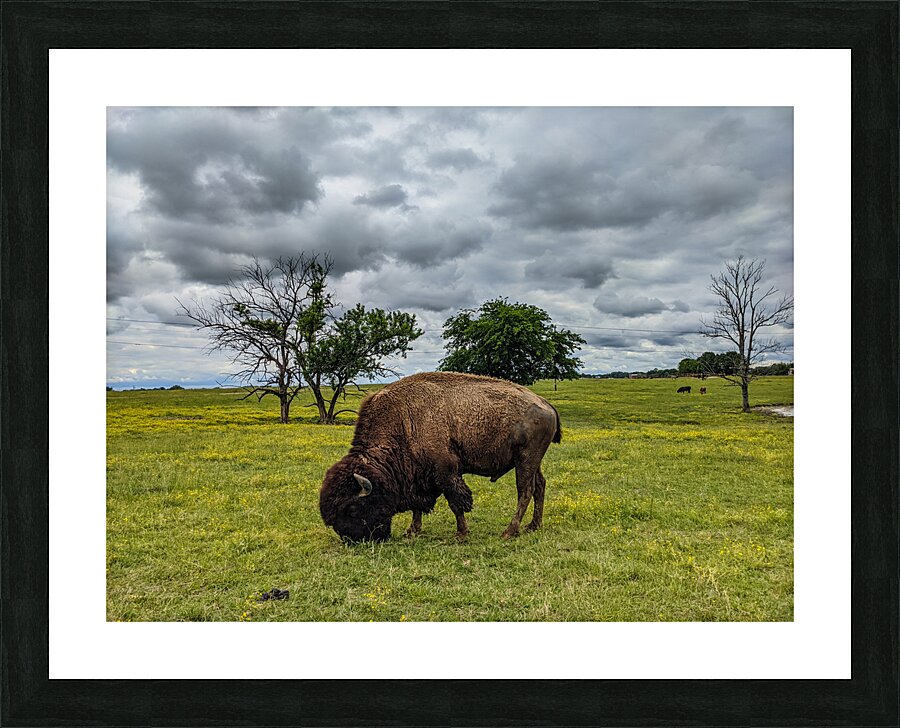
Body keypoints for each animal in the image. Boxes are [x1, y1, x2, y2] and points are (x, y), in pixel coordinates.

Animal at [319, 372, 561, 542]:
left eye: (351, 509)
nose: (353, 540)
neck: (403, 422)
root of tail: (546, 404)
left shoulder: (446, 472)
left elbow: (456, 502)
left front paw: (461, 534)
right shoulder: (417, 475)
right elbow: (418, 506)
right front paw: (412, 531)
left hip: (526, 459)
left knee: (525, 491)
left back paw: (509, 531)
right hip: (532, 461)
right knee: (540, 486)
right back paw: (533, 526)